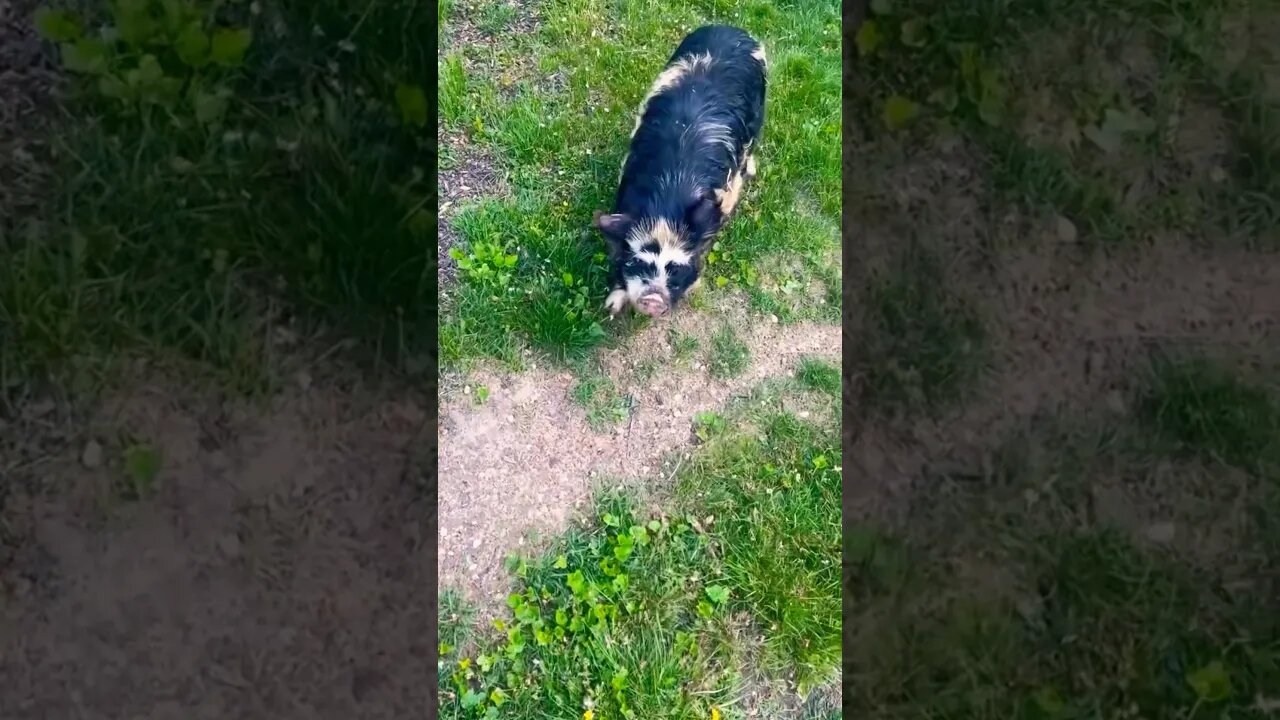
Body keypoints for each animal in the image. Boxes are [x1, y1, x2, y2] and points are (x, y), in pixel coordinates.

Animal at [591, 25, 762, 316]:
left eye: (675, 269)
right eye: (640, 263)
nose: (653, 299)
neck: (668, 200)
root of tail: (731, 28)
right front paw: (611, 308)